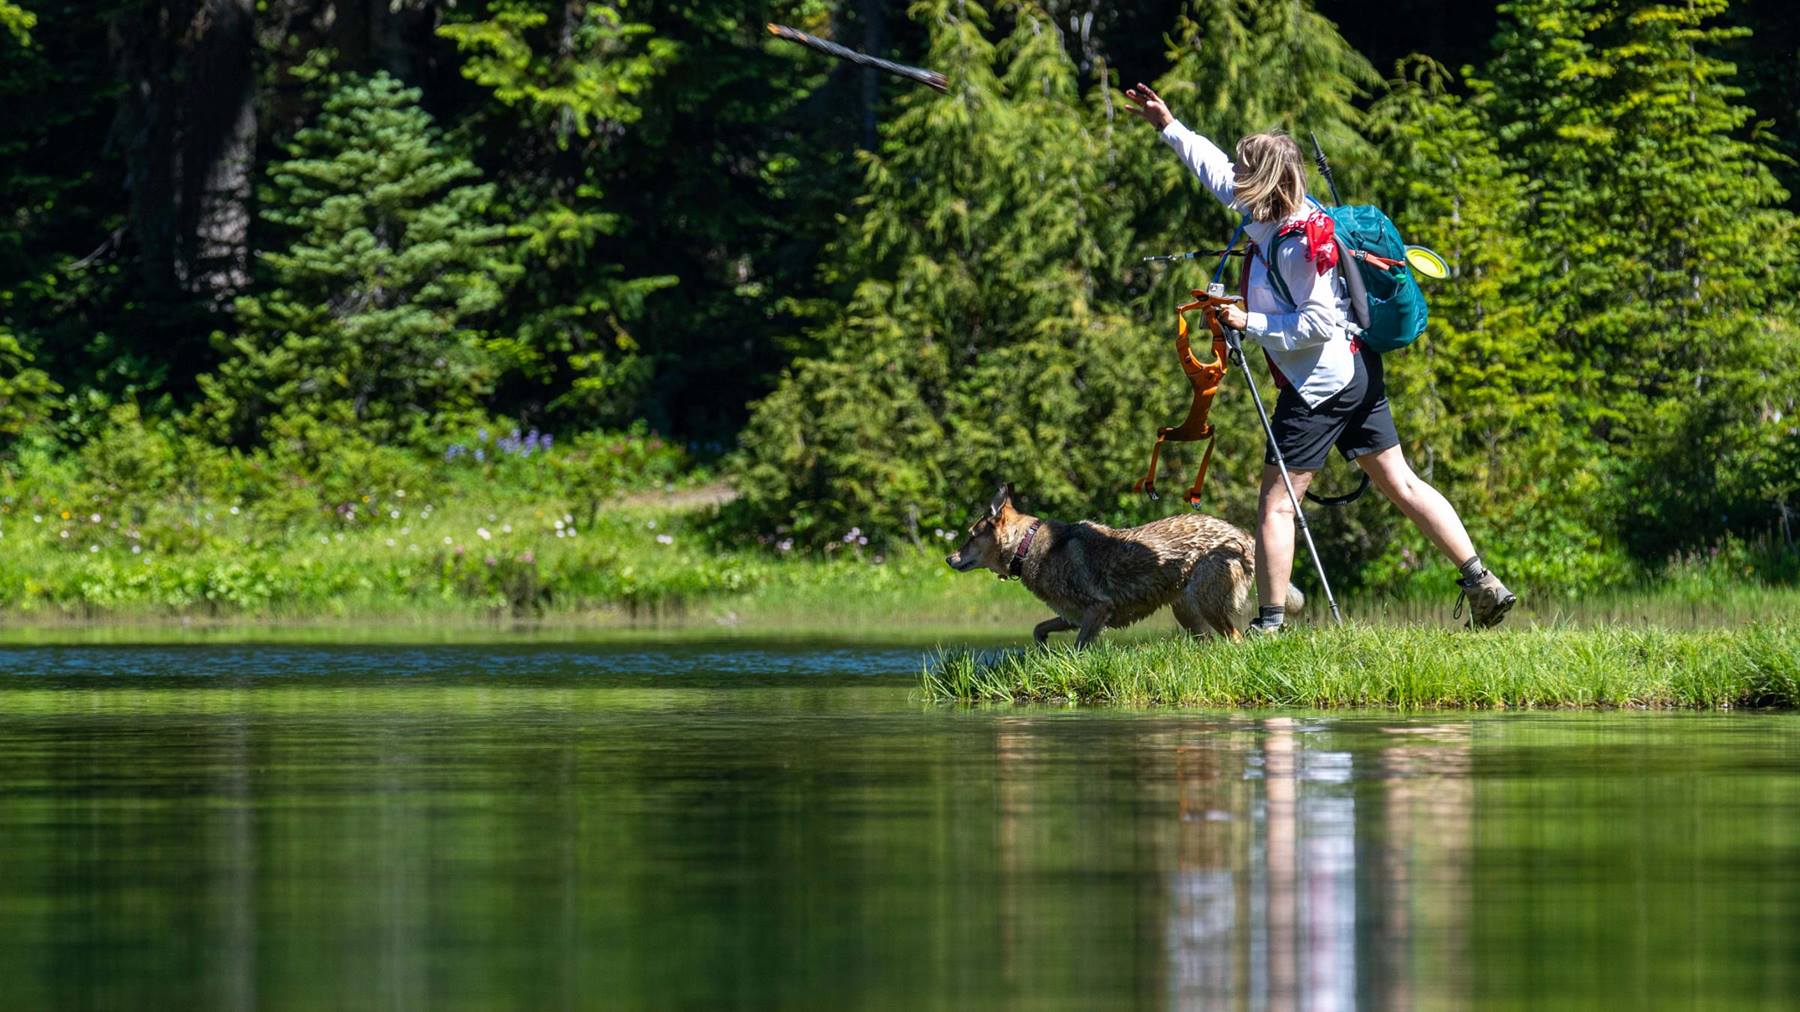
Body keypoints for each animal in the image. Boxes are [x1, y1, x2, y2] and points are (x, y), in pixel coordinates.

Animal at [950, 482, 1303, 644]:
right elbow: (1039, 628)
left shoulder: (1097, 610)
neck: (1027, 547)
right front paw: (1041, 649)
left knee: (1236, 639)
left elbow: (1079, 648)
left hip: (1205, 603)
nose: (948, 558)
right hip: (1187, 611)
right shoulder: (1072, 614)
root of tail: (1243, 536)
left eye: (969, 536)